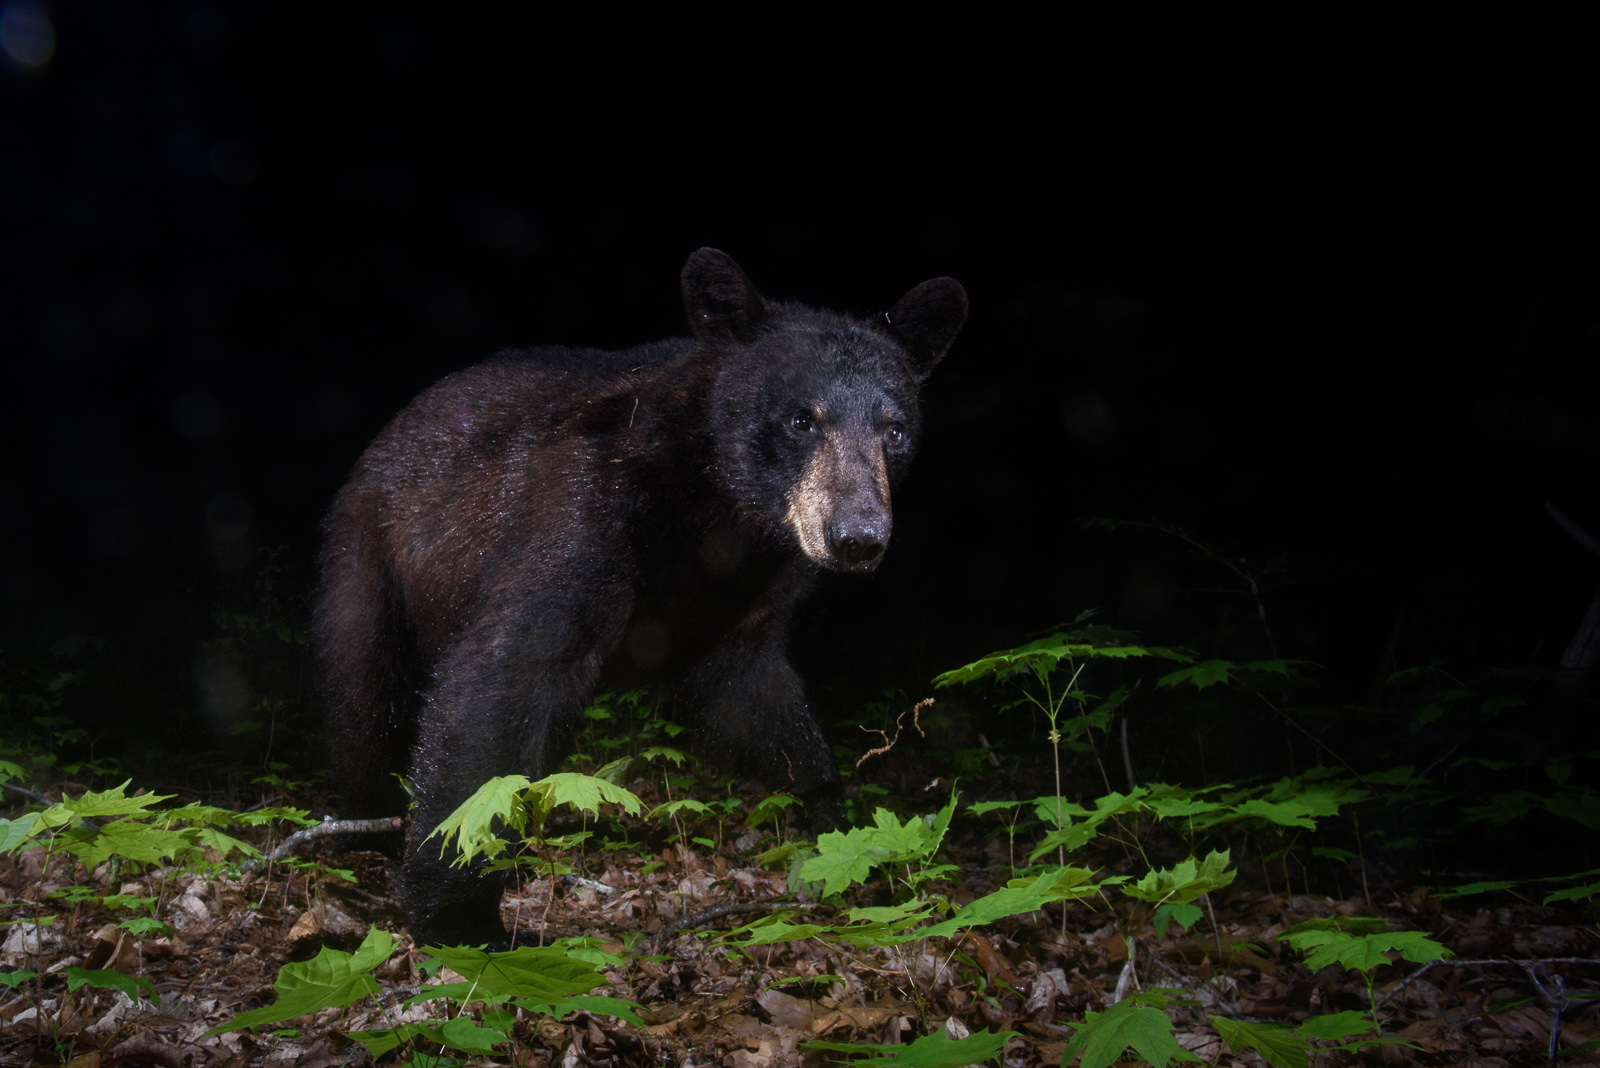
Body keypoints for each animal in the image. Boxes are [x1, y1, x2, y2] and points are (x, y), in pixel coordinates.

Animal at [313, 248, 967, 947]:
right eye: (801, 419)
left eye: (894, 429)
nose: (857, 537)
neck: (714, 512)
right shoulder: (582, 516)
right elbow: (501, 681)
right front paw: (458, 914)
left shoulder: (751, 595)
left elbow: (752, 696)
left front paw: (841, 827)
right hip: (369, 556)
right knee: (364, 698)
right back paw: (364, 834)